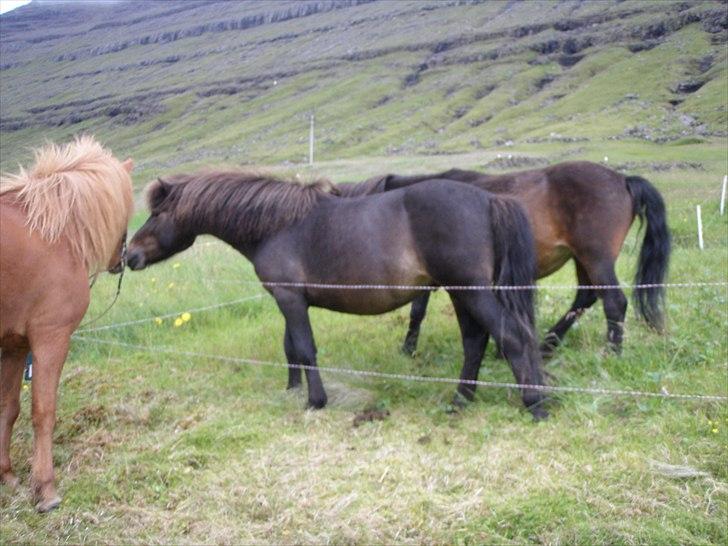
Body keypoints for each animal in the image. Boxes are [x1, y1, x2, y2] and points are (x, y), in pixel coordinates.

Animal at [0, 137, 134, 510]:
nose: (124, 258)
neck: (52, 233)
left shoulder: (15, 346)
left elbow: (8, 408)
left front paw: (6, 474)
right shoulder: (50, 339)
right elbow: (43, 412)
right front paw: (45, 488)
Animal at [126, 170, 544, 416]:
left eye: (157, 214)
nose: (129, 255)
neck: (276, 225)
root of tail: (488, 199)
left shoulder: (290, 299)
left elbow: (305, 348)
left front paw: (315, 401)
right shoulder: (289, 300)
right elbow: (291, 348)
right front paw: (292, 389)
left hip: (472, 291)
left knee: (513, 337)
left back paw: (536, 403)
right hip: (462, 293)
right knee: (476, 342)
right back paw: (460, 401)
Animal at [340, 160, 672, 356]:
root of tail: (623, 180)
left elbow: (417, 312)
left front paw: (408, 349)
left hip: (596, 258)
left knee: (614, 302)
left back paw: (611, 352)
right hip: (583, 259)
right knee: (585, 297)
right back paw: (547, 344)